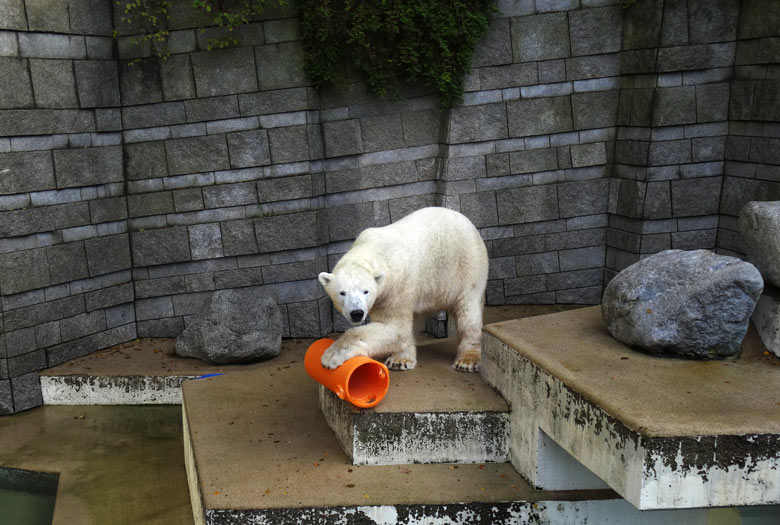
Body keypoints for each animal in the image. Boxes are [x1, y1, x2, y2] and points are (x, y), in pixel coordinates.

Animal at [316, 207, 488, 370]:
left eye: (366, 291)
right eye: (342, 293)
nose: (357, 313)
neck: (373, 249)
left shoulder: (395, 289)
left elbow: (395, 328)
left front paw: (331, 356)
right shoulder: (388, 294)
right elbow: (399, 330)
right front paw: (400, 358)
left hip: (466, 266)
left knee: (468, 312)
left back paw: (467, 360)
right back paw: (400, 360)